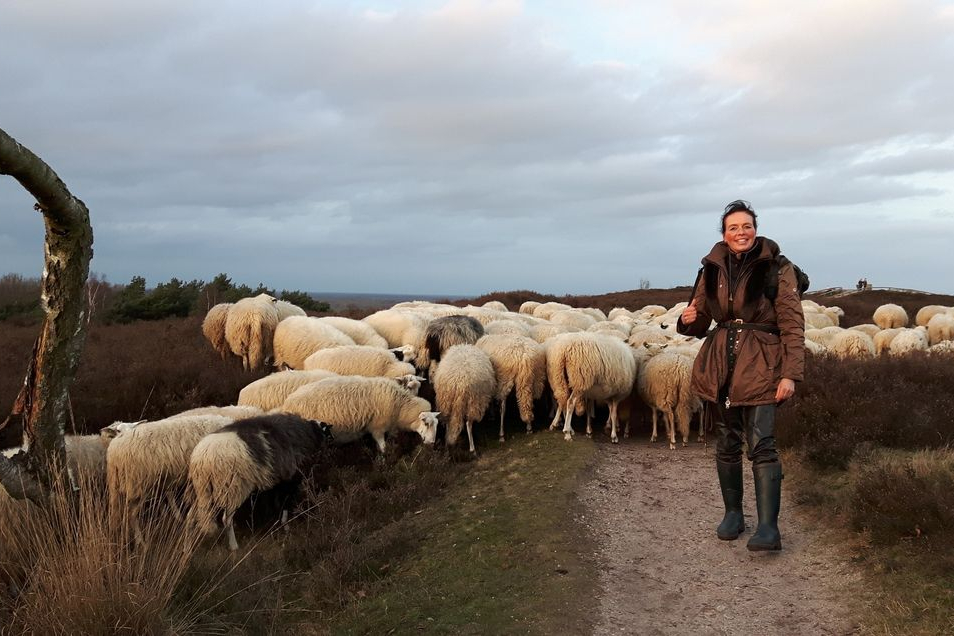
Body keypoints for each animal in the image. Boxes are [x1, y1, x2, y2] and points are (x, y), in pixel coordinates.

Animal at [188, 414, 332, 548]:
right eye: (329, 435)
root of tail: (204, 457)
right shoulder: (290, 479)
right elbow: (285, 504)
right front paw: (286, 527)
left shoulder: (277, 482)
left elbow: (276, 503)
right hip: (232, 488)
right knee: (226, 519)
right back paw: (234, 546)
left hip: (203, 489)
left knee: (199, 515)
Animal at [278, 376, 436, 454]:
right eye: (426, 423)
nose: (432, 443)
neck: (400, 406)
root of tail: (287, 403)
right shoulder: (377, 427)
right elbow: (383, 447)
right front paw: (384, 463)